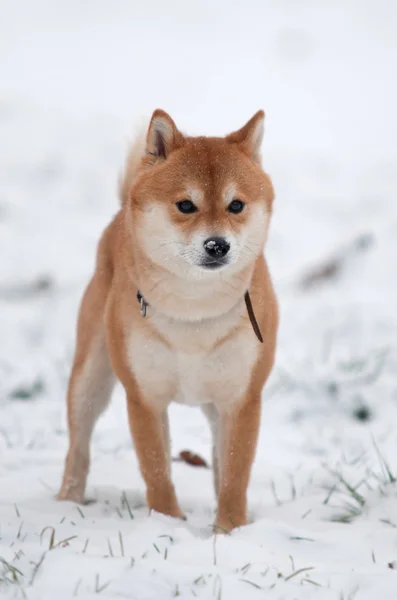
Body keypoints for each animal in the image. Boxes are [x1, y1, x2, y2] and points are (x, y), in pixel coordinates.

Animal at [57, 110, 276, 532]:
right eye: (186, 205)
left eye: (236, 205)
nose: (217, 245)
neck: (194, 311)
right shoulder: (144, 396)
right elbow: (157, 470)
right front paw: (167, 522)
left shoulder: (241, 399)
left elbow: (234, 474)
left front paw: (229, 530)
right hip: (90, 377)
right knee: (78, 446)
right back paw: (67, 503)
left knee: (218, 463)